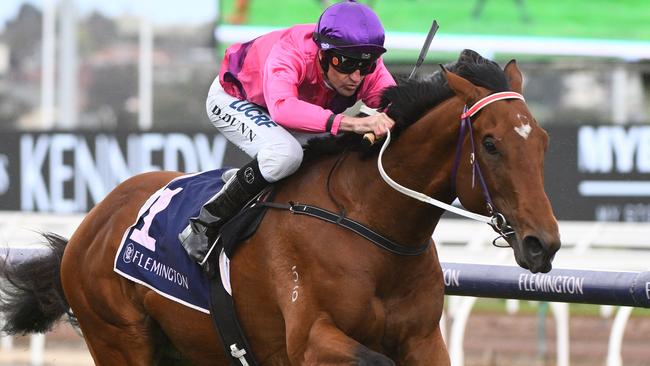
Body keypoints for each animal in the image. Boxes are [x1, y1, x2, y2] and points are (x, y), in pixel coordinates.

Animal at [0, 50, 556, 364]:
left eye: (544, 142)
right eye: (490, 144)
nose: (543, 244)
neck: (370, 223)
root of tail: (90, 225)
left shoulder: (423, 340)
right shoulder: (310, 339)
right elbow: (372, 359)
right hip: (120, 340)